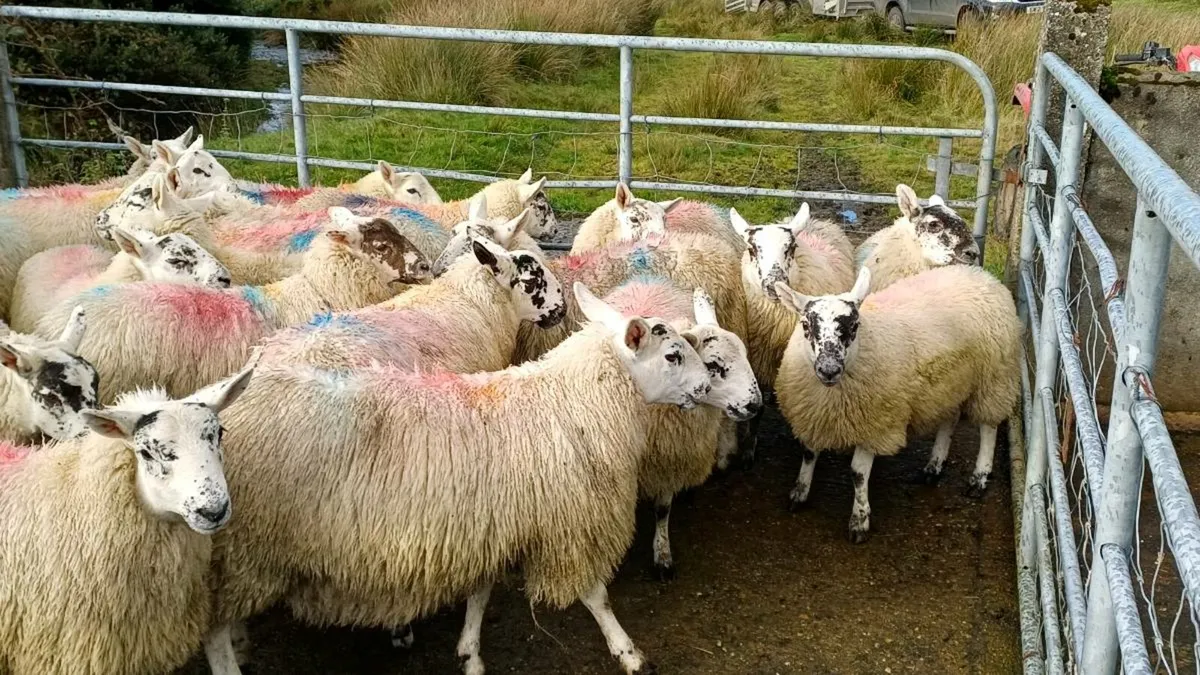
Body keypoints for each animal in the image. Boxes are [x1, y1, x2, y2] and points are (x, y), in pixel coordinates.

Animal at [202, 282, 710, 675]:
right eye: (672, 354)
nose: (708, 385)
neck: (573, 401)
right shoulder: (569, 524)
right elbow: (596, 596)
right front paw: (628, 652)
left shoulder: (489, 526)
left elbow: (479, 596)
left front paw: (469, 653)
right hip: (251, 548)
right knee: (213, 631)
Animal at [602, 278, 761, 578]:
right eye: (713, 364)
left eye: (746, 355)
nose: (756, 403)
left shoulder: (670, 459)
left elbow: (663, 510)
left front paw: (662, 554)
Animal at [773, 265, 1020, 543]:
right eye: (805, 324)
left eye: (855, 326)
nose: (829, 370)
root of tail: (981, 274)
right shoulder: (811, 415)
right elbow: (808, 453)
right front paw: (799, 493)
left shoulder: (876, 424)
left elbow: (858, 473)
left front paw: (859, 520)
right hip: (951, 382)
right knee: (950, 418)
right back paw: (934, 466)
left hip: (994, 377)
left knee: (989, 426)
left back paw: (979, 478)